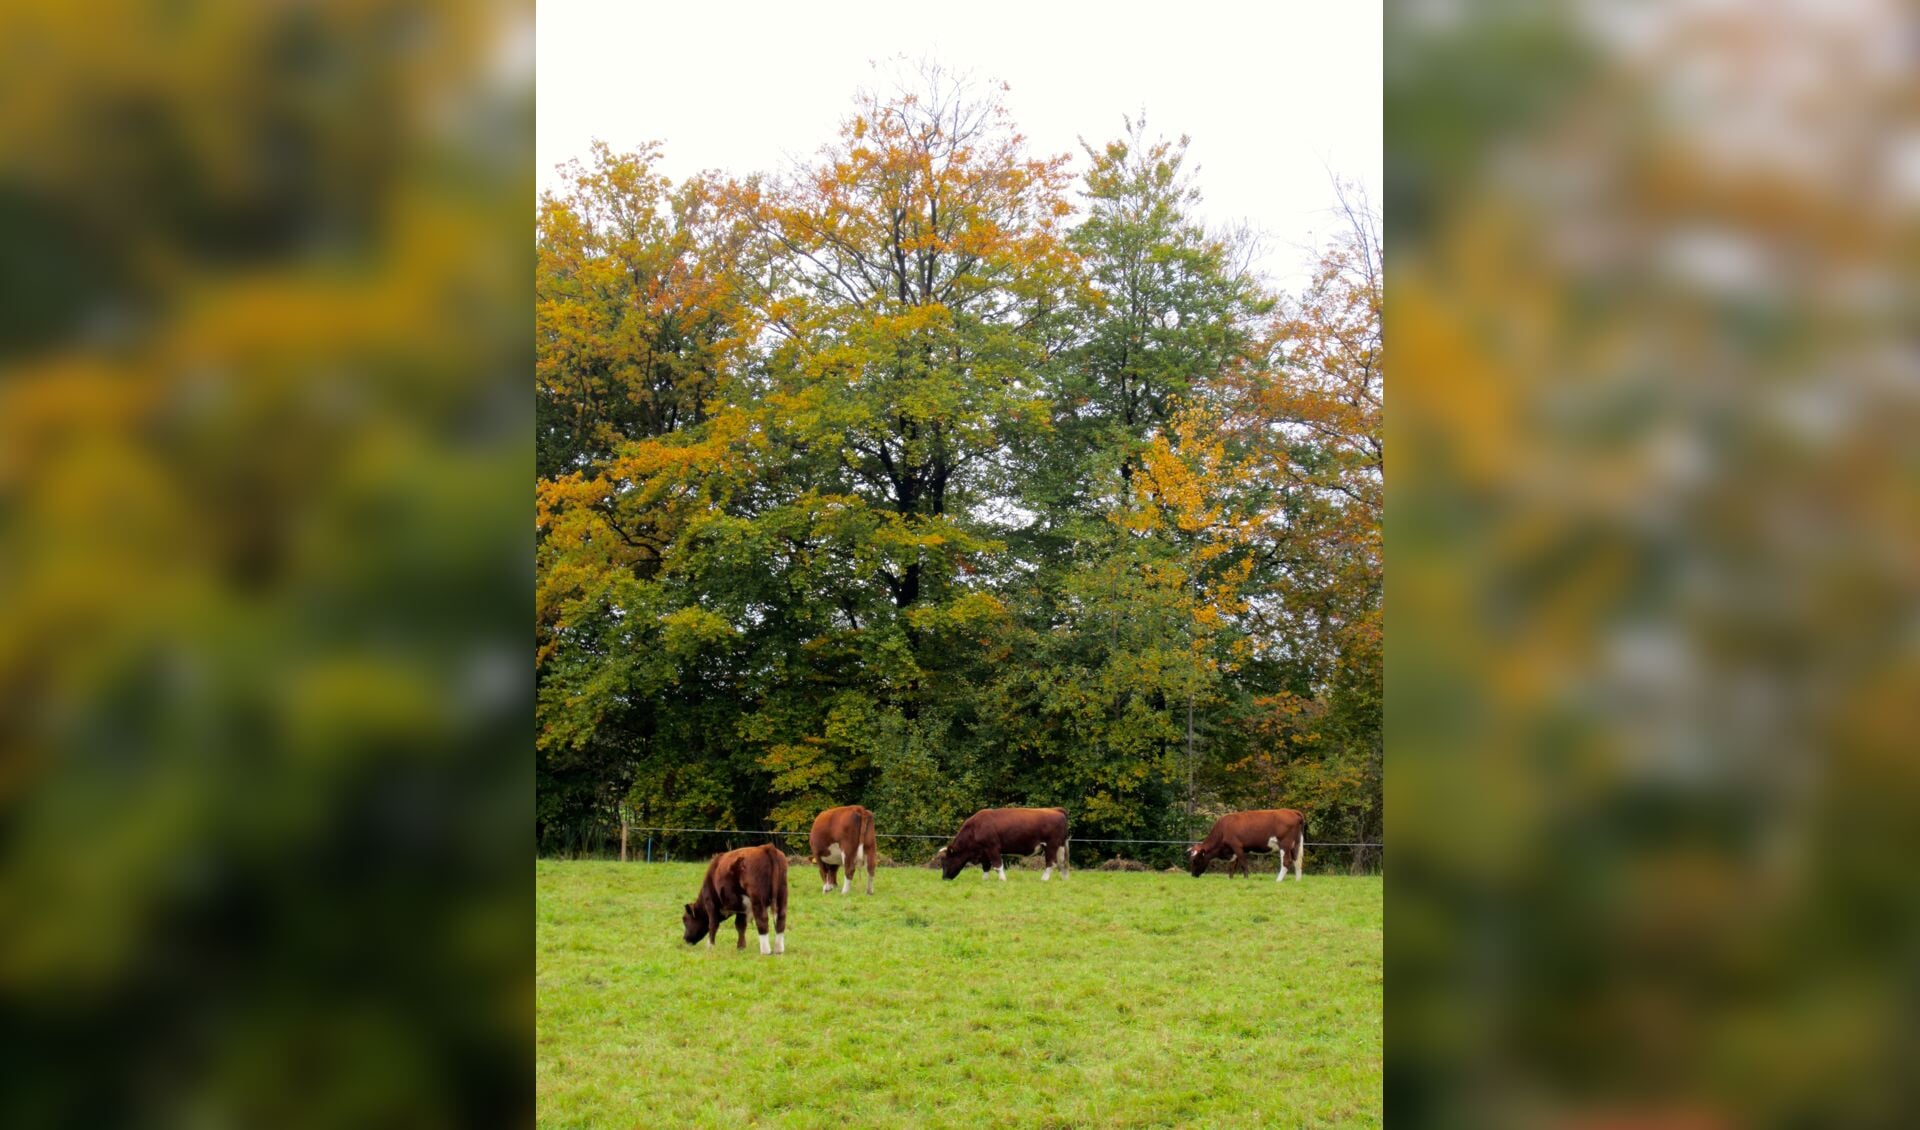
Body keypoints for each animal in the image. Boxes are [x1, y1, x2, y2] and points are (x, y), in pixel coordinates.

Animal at [936, 801, 1075, 882]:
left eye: (946, 861)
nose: (944, 878)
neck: (975, 828)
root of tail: (1055, 809)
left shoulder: (992, 847)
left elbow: (997, 865)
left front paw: (1002, 880)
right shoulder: (984, 852)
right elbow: (986, 866)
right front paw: (985, 880)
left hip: (1051, 845)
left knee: (1051, 863)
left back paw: (1044, 879)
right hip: (1060, 846)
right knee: (1062, 863)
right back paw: (1064, 879)